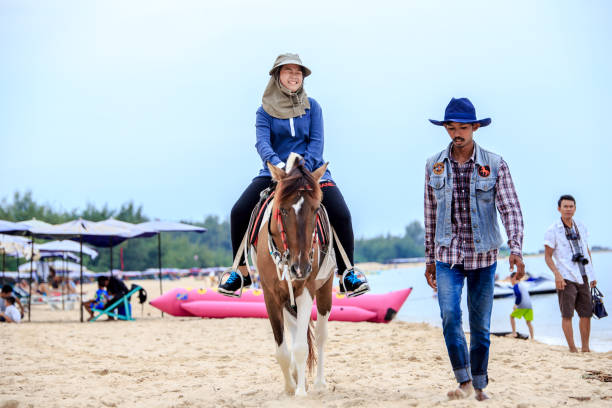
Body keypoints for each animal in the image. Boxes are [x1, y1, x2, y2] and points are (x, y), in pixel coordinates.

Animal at [258, 159, 334, 396]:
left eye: (315, 209)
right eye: (282, 210)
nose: (300, 268)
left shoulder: (306, 290)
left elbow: (301, 346)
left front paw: (300, 391)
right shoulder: (271, 295)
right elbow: (282, 350)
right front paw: (291, 386)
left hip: (325, 288)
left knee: (320, 335)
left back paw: (319, 384)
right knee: (294, 329)